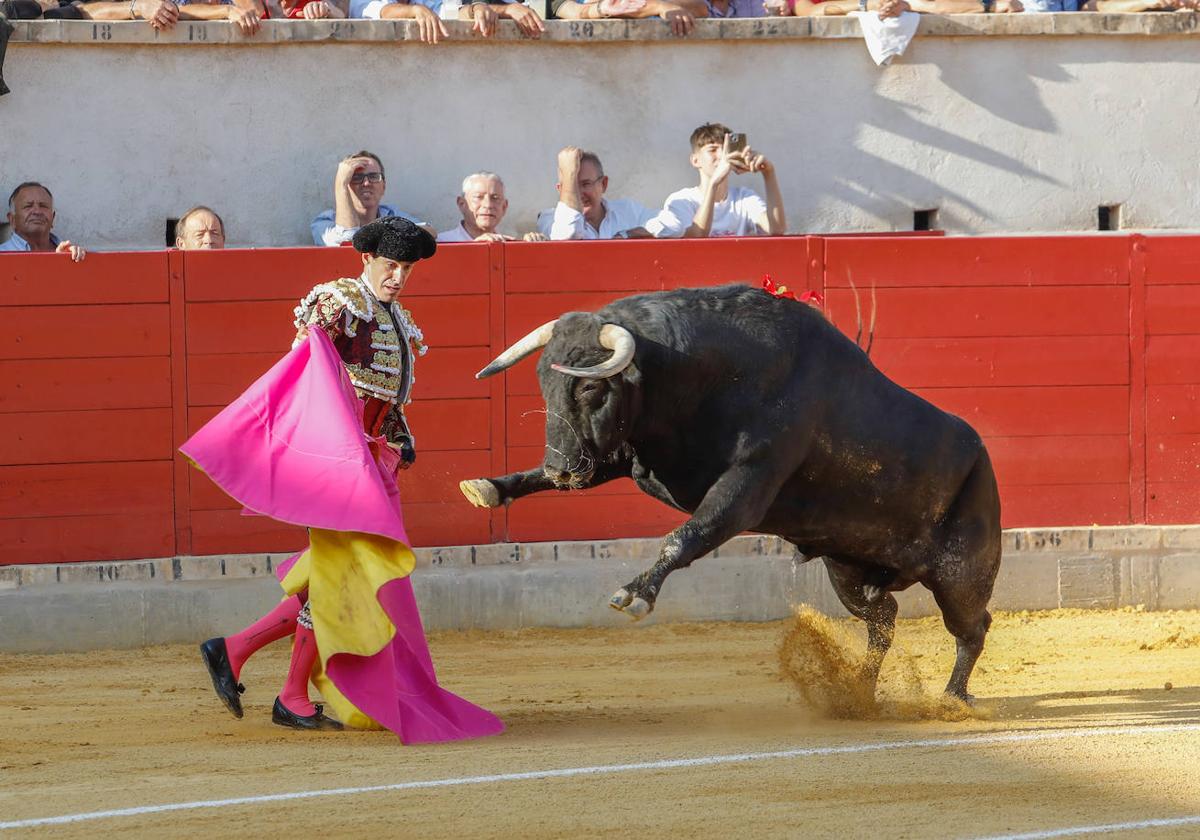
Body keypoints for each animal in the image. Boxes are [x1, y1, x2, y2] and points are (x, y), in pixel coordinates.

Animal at [458, 284, 1003, 700]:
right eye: (542, 380)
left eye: (590, 388)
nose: (560, 469)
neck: (700, 376)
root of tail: (981, 450)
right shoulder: (627, 453)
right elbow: (577, 474)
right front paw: (487, 486)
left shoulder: (748, 486)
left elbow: (686, 535)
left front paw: (635, 595)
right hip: (848, 570)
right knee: (883, 620)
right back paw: (860, 691)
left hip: (961, 573)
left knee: (972, 627)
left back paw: (952, 698)